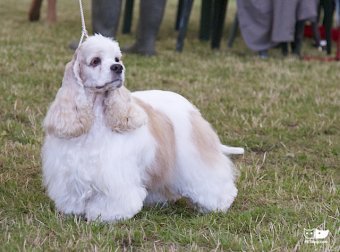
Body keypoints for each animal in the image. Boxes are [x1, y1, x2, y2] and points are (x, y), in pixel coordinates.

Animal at [41, 34, 244, 221]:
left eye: (117, 59)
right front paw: (72, 211)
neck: (96, 115)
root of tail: (190, 107)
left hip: (193, 156)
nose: (118, 68)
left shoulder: (115, 175)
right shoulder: (69, 172)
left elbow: (113, 200)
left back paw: (219, 203)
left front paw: (104, 215)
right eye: (95, 61)